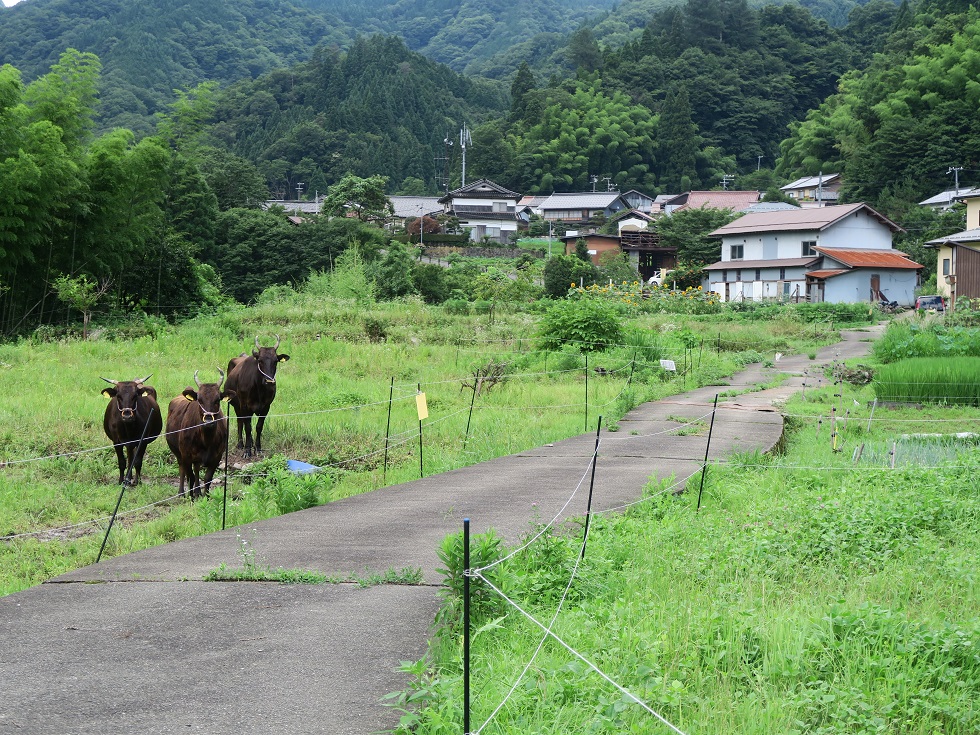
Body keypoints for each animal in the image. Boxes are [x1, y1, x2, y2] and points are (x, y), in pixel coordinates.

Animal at [166, 368, 234, 500]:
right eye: (200, 400)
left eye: (217, 400)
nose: (208, 421)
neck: (206, 440)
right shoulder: (186, 455)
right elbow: (190, 477)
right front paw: (192, 498)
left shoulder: (217, 456)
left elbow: (207, 478)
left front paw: (206, 497)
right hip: (178, 453)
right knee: (182, 469)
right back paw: (182, 493)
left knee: (196, 469)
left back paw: (197, 492)